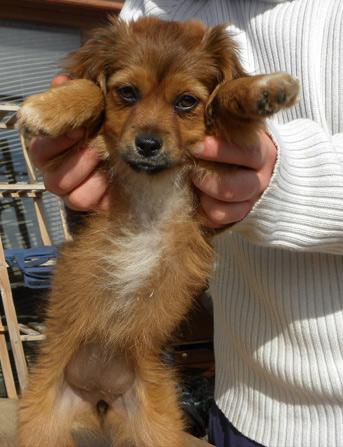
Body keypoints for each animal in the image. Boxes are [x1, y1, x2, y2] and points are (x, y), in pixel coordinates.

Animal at [16, 15, 300, 446]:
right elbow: (90, 89)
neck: (151, 180)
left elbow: (227, 101)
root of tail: (99, 394)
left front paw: (261, 90)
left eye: (186, 102)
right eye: (127, 93)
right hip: (41, 424)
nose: (147, 144)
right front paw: (52, 106)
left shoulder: (219, 174)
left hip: (158, 426)